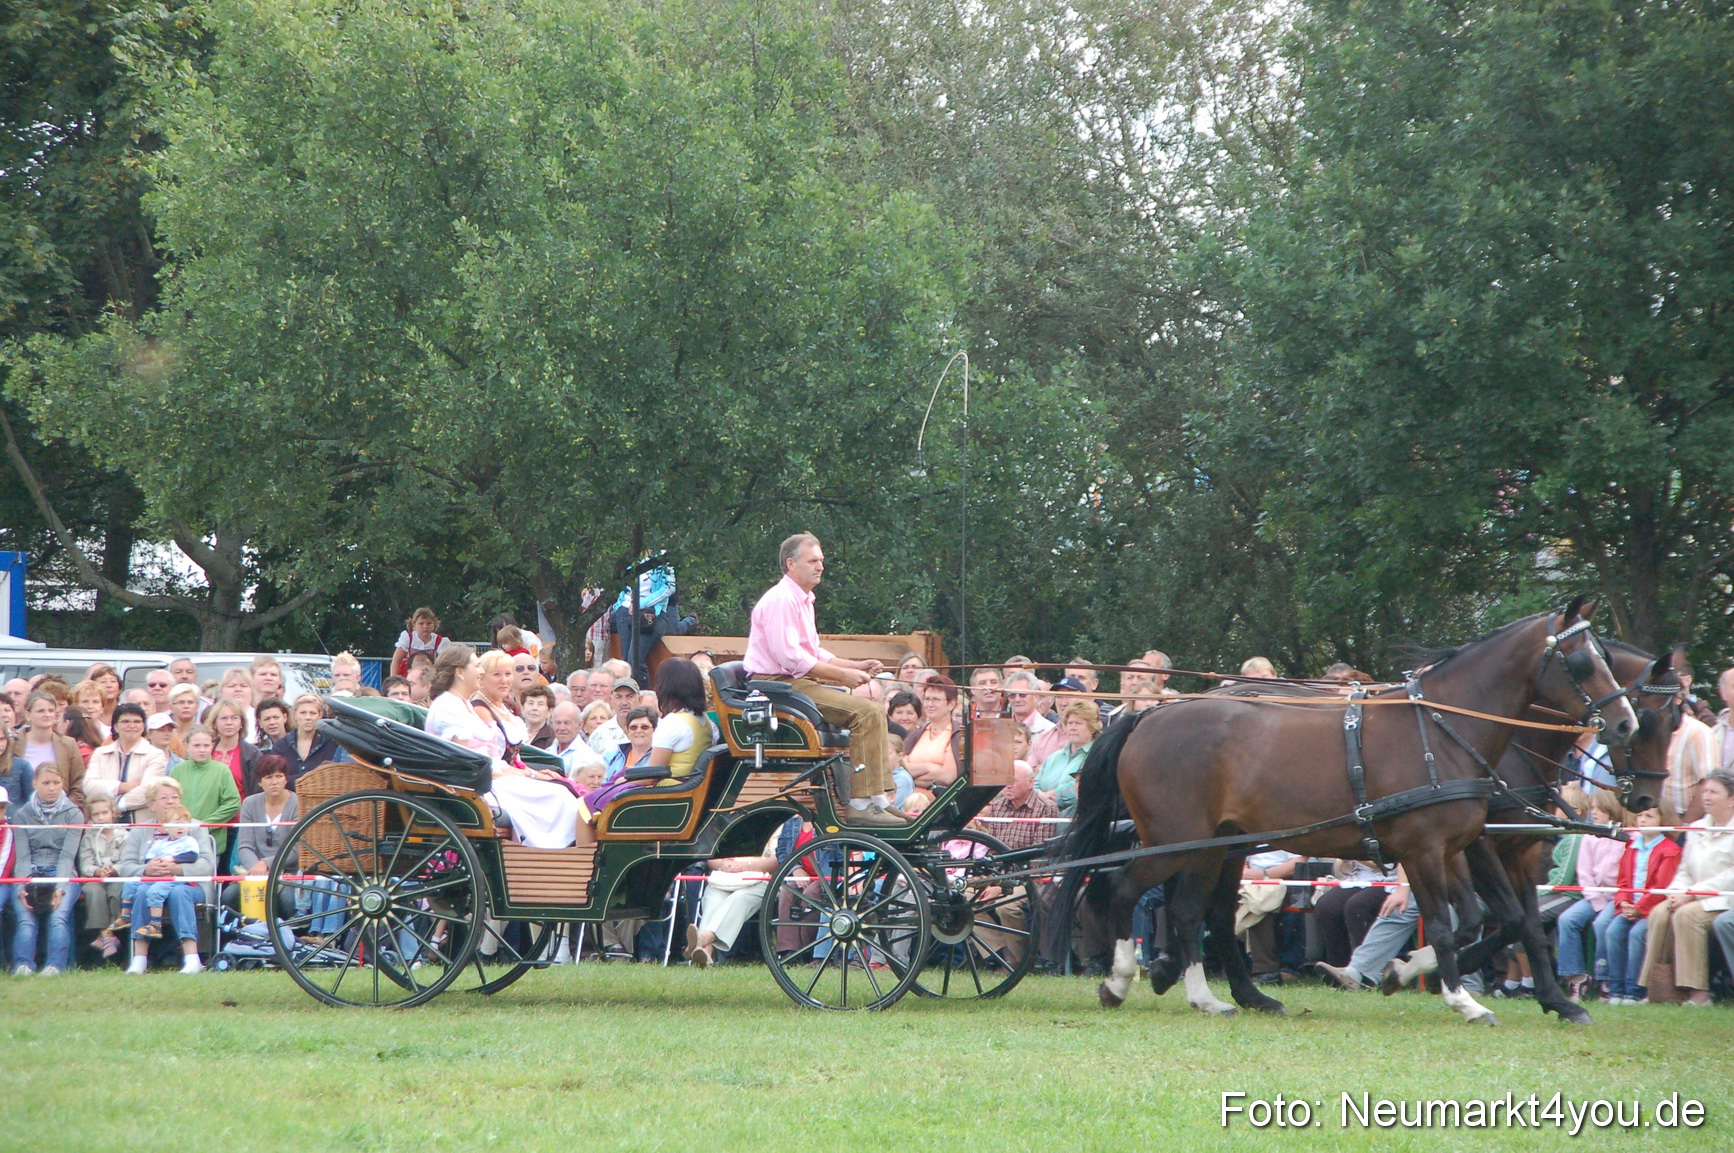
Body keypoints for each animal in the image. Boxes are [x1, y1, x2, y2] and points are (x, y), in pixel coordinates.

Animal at [1048, 600, 1638, 1025]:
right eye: (1583, 661)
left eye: (1607, 659)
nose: (1626, 723)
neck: (1441, 731)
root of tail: (1146, 718)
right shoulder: (1426, 850)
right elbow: (1448, 926)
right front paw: (1463, 1001)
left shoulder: (1459, 846)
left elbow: (1482, 920)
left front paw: (1409, 973)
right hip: (1176, 840)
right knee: (1123, 889)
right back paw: (1121, 979)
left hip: (1211, 845)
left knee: (1191, 911)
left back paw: (1209, 996)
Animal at [1376, 641, 1682, 1021]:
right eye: (1646, 722)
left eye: (1675, 723)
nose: (1646, 798)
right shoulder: (1477, 845)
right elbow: (1505, 919)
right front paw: (1432, 970)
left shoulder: (1520, 849)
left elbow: (1525, 926)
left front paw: (1556, 1000)